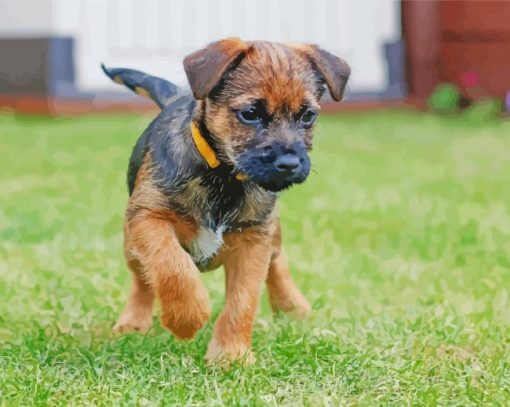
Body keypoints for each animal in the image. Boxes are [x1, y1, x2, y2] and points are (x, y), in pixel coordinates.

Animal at [103, 37, 350, 364]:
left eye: (308, 115)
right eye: (250, 113)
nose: (289, 163)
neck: (223, 177)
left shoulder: (254, 240)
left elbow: (242, 301)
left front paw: (231, 355)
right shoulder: (148, 216)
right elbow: (172, 267)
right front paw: (186, 319)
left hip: (272, 232)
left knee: (277, 263)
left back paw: (293, 307)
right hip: (131, 242)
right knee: (142, 278)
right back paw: (133, 322)